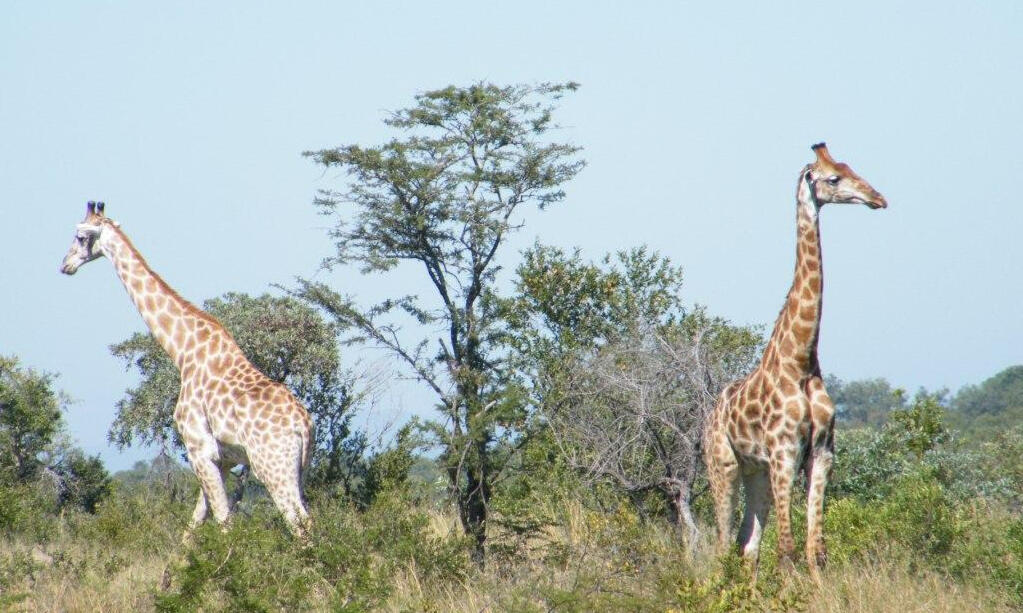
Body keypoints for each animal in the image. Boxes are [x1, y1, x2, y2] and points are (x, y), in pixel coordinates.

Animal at [60, 201, 313, 537]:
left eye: (80, 236)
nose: (65, 265)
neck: (183, 353)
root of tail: (304, 425)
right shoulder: (221, 459)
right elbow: (192, 528)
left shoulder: (198, 449)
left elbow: (223, 522)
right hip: (298, 469)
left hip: (272, 467)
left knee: (301, 525)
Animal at [702, 143, 886, 582]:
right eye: (833, 178)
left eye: (851, 167)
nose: (877, 198)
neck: (801, 360)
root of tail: (709, 415)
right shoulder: (784, 452)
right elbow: (786, 551)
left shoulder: (821, 453)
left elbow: (814, 549)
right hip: (723, 465)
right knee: (722, 544)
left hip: (757, 474)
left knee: (746, 544)